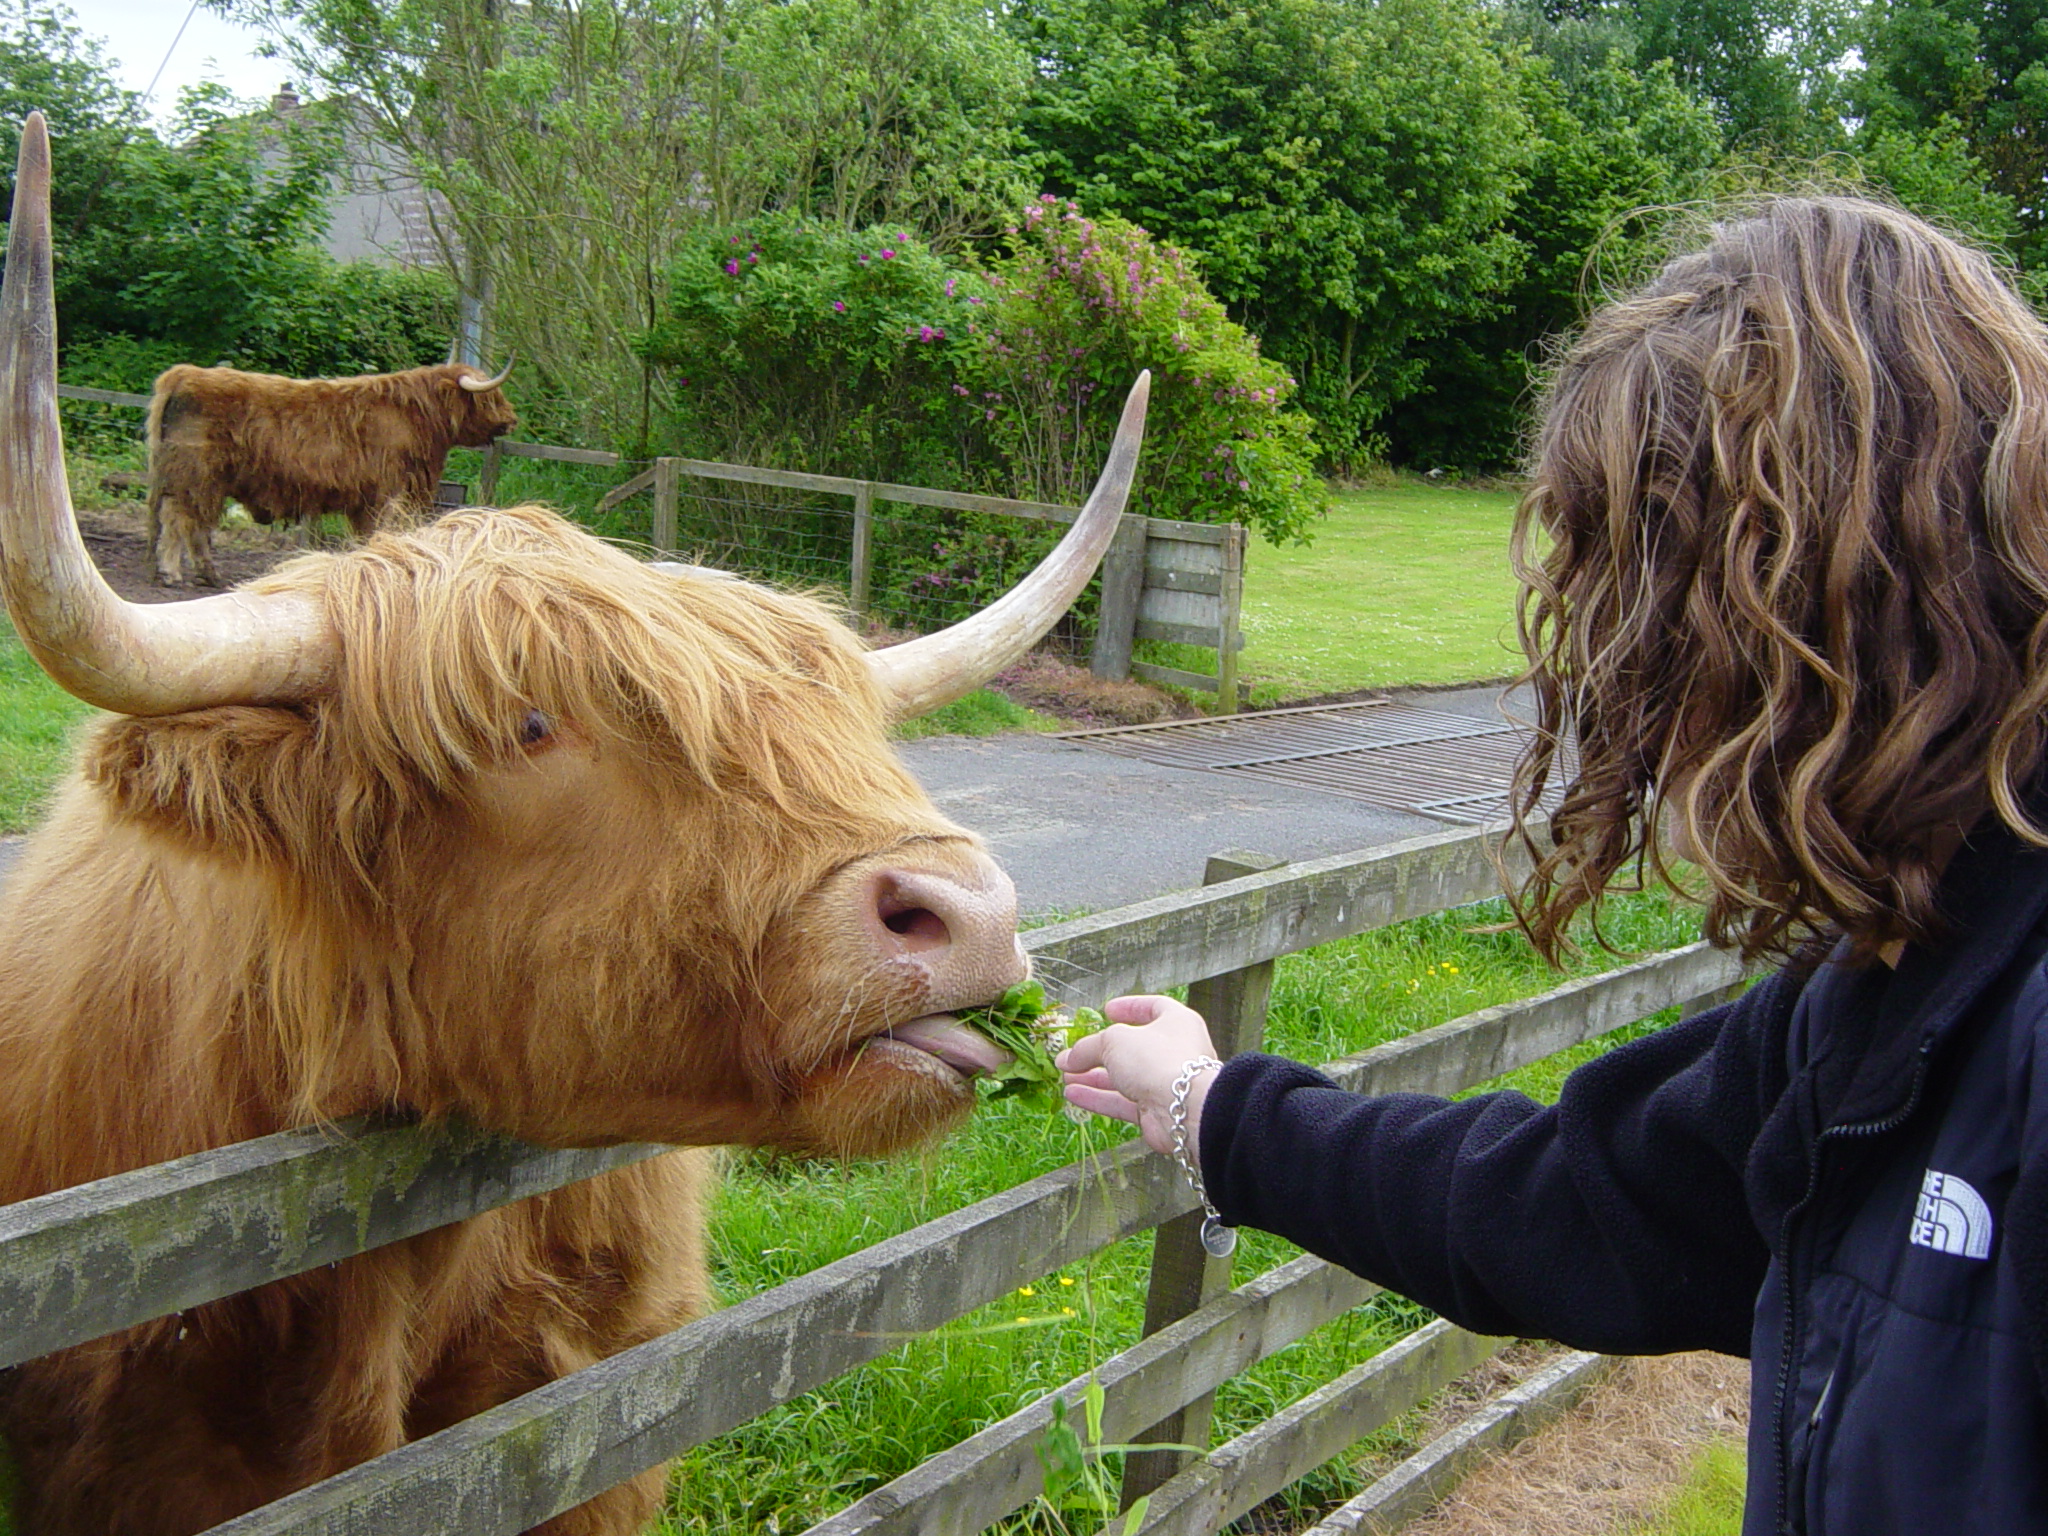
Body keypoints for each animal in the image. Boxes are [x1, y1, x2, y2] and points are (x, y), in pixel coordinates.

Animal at [144, 353, 519, 588]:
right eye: (491, 396)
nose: (512, 419)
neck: (415, 417)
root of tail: (184, 374)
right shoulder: (389, 492)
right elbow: (381, 533)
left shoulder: (367, 499)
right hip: (194, 474)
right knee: (180, 519)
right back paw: (174, 573)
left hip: (200, 480)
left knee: (190, 523)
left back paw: (201, 575)